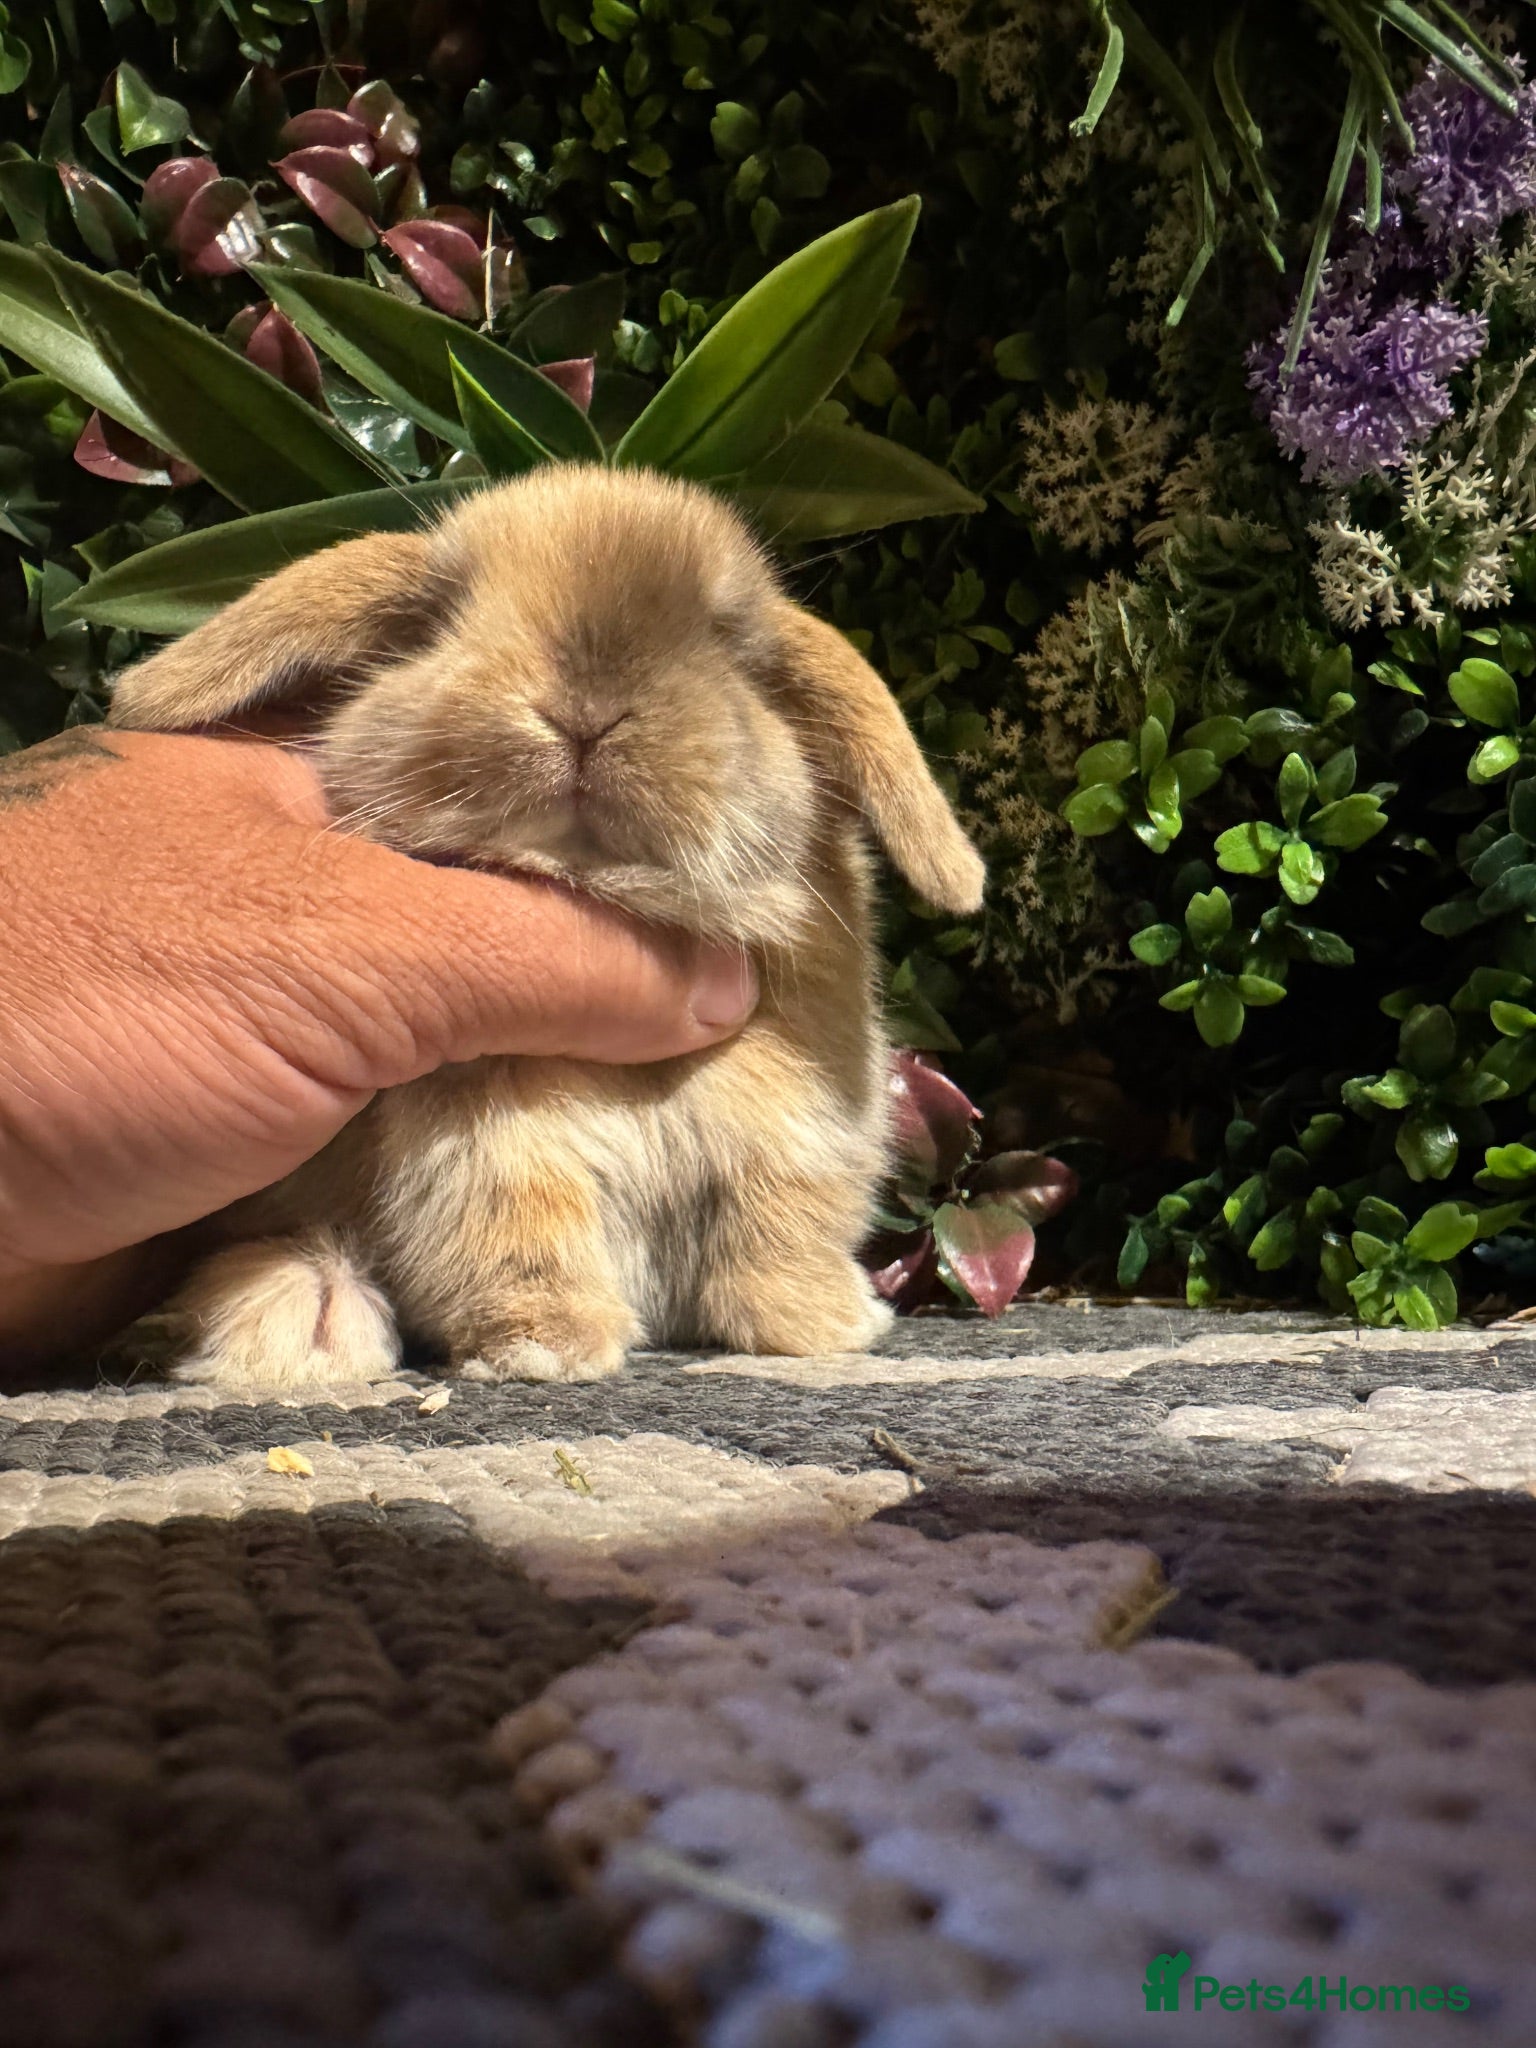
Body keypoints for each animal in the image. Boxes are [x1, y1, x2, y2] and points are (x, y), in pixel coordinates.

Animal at [107, 465, 985, 1390]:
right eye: (439, 617)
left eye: (731, 642)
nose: (586, 708)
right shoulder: (488, 1153)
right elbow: (519, 1234)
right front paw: (545, 1347)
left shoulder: (797, 1131)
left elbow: (779, 1229)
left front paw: (823, 1325)